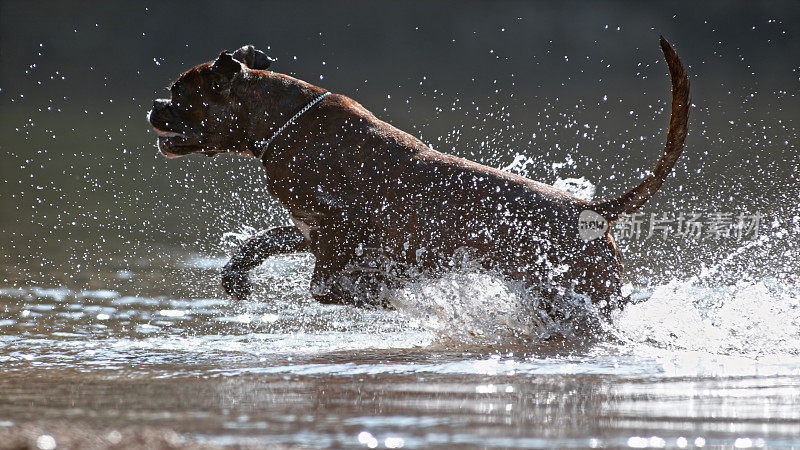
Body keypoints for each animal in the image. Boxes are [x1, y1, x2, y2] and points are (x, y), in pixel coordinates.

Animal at [148, 37, 688, 312]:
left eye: (179, 93)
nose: (154, 104)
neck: (282, 119)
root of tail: (593, 209)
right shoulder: (309, 228)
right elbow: (261, 241)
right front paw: (237, 275)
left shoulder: (338, 225)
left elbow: (326, 284)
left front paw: (369, 295)